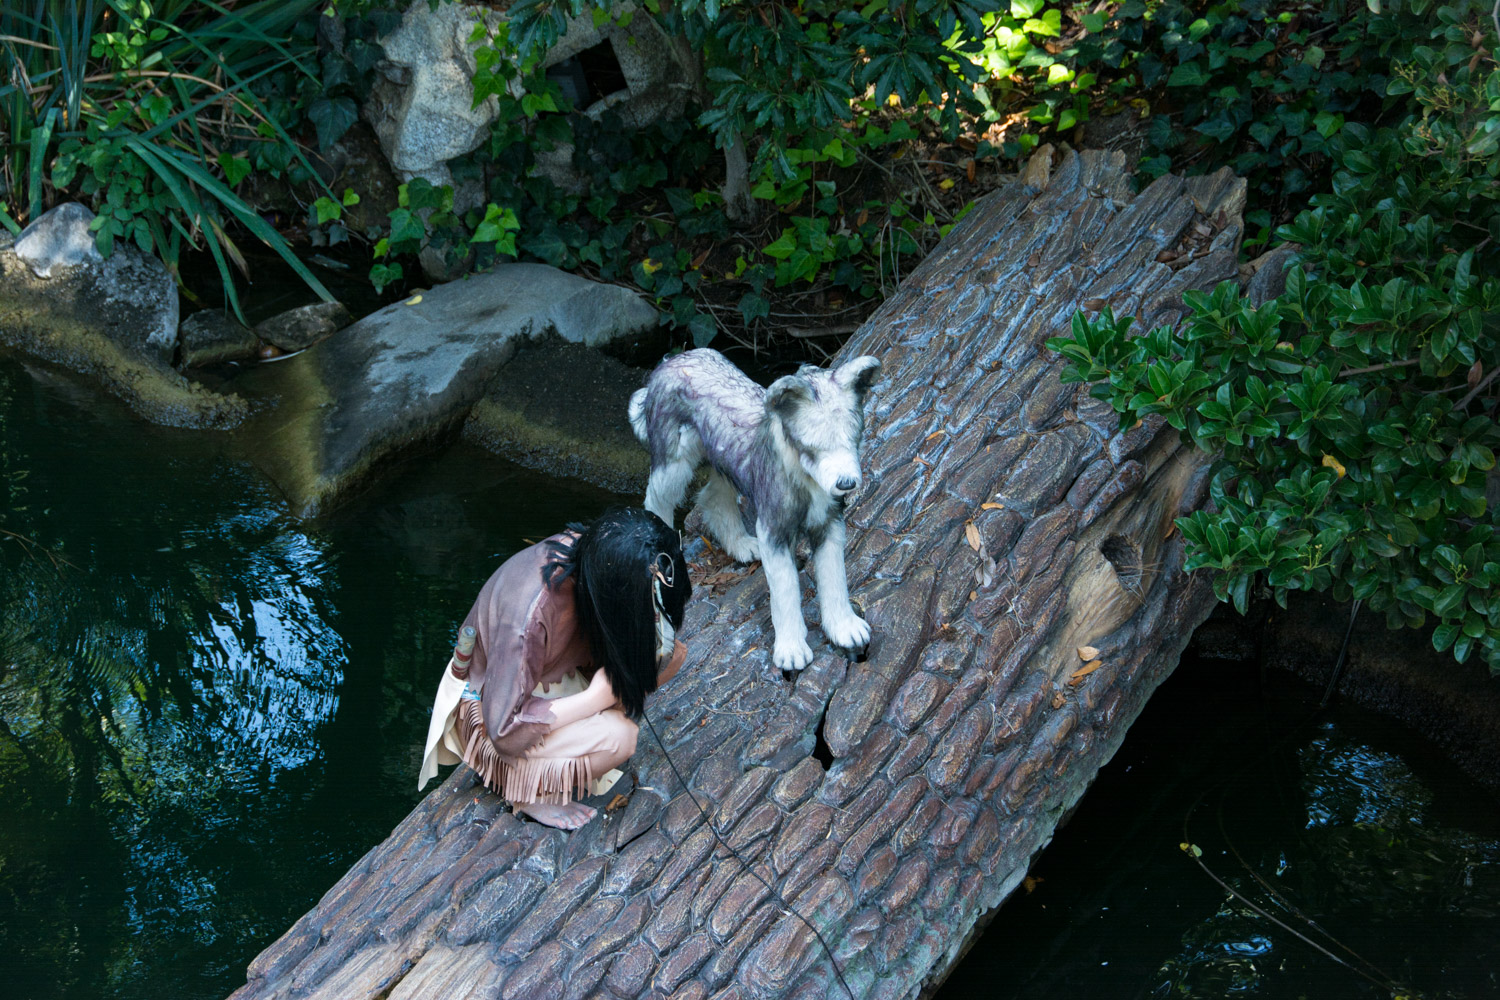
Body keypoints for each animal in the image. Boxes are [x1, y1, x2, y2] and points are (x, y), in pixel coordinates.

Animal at [630, 347, 882, 668]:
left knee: (713, 498)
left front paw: (844, 629)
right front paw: (791, 650)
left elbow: (834, 575)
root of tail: (669, 361)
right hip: (675, 459)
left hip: (724, 462)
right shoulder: (773, 530)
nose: (846, 483)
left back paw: (741, 546)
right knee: (656, 498)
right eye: (811, 444)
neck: (804, 476)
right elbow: (785, 590)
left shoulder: (829, 522)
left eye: (853, 435)